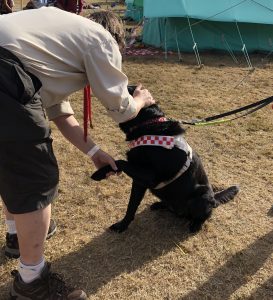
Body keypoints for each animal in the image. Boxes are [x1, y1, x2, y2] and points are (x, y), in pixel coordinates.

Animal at [91, 86, 238, 232]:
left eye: (126, 90)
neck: (148, 124)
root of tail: (214, 198)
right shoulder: (139, 182)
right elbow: (131, 205)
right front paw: (122, 225)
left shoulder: (149, 176)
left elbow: (120, 162)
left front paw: (98, 173)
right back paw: (159, 205)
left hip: (201, 197)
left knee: (203, 215)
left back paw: (195, 225)